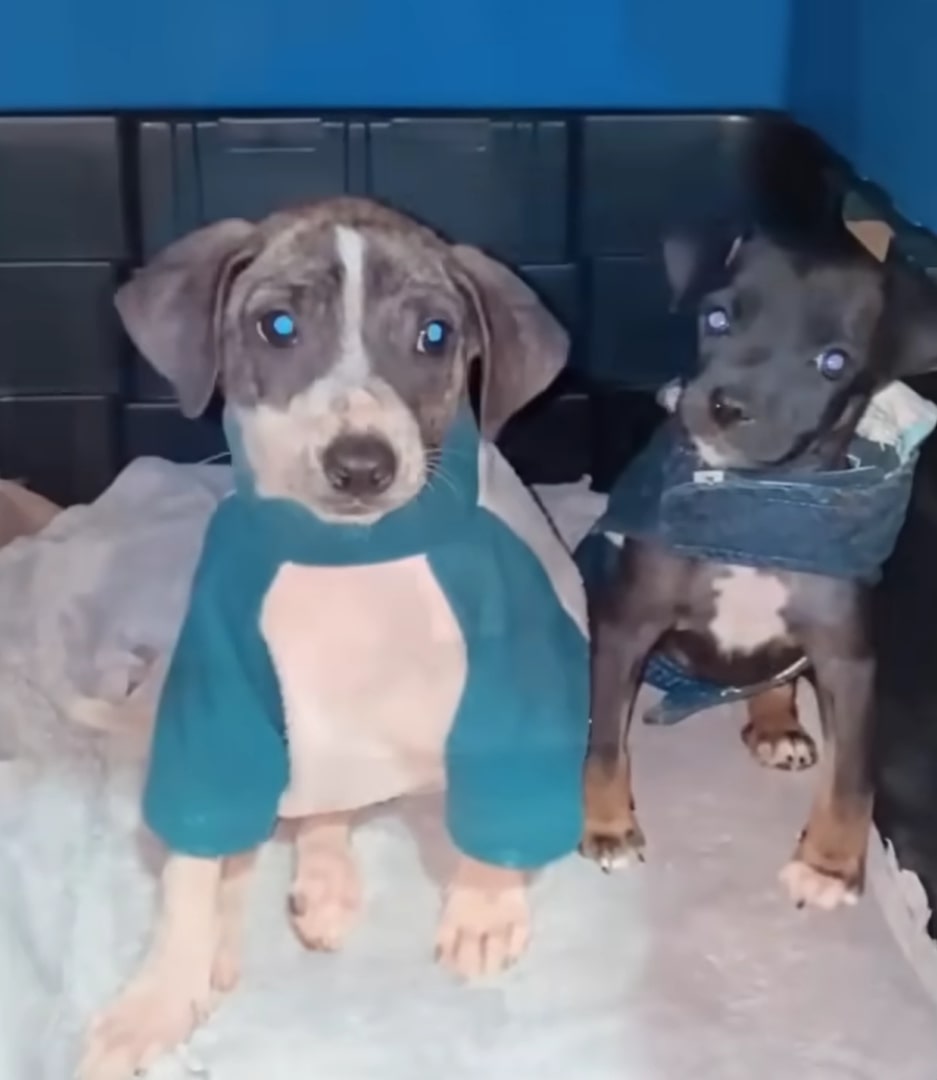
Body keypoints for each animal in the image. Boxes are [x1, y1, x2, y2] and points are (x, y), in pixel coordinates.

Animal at [582, 227, 936, 911]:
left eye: (833, 362)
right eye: (716, 318)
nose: (725, 406)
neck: (751, 501)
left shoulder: (848, 659)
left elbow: (854, 773)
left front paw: (829, 866)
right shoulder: (628, 625)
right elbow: (606, 739)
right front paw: (609, 826)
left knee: (774, 679)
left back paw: (776, 724)